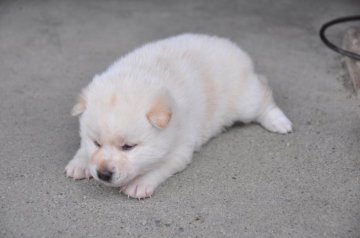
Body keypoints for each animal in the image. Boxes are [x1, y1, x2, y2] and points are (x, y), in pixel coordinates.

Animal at [64, 33, 292, 197]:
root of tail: (234, 48)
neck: (138, 74)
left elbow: (159, 167)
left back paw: (280, 122)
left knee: (264, 97)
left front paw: (138, 185)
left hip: (245, 101)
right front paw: (80, 163)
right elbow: (83, 147)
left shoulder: (179, 149)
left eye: (128, 147)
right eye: (96, 143)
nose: (103, 174)